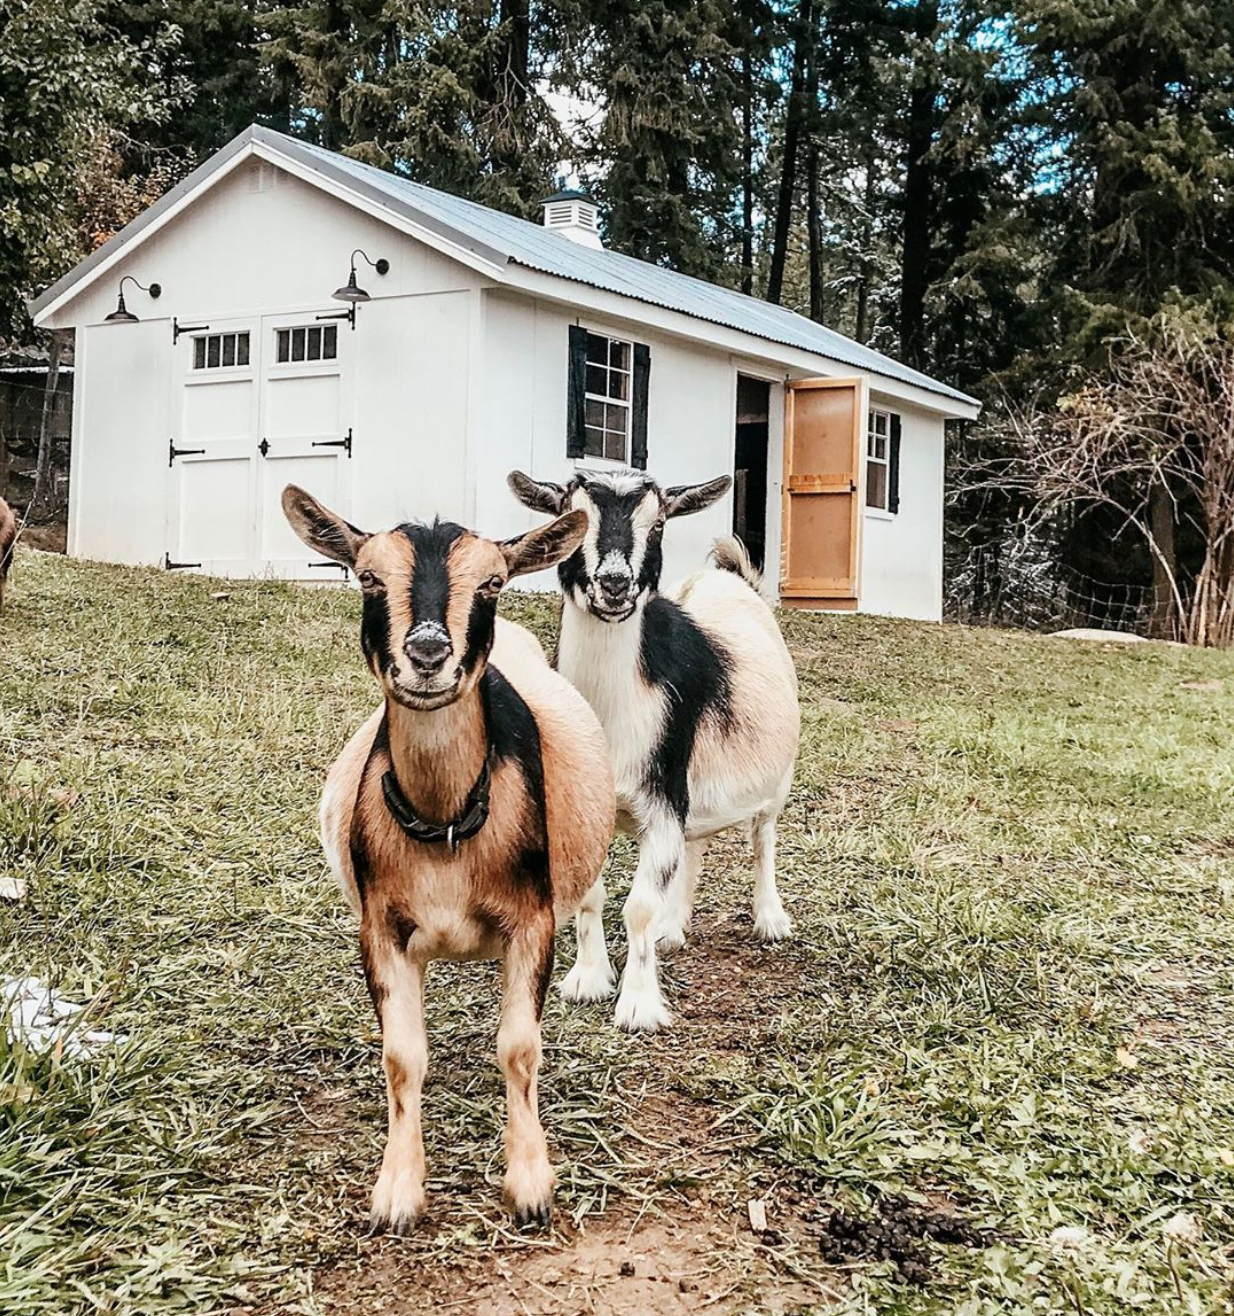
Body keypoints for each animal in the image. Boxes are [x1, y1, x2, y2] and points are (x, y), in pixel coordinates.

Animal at [282, 485, 615, 1233]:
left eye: (491, 582)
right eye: (367, 578)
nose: (429, 650)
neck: (446, 827)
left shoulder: (533, 920)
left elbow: (519, 1046)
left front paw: (531, 1184)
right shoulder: (381, 928)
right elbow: (403, 1056)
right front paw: (398, 1191)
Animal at [508, 469, 800, 1033]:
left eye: (659, 523)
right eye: (570, 517)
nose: (614, 583)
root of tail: (729, 580)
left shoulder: (664, 798)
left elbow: (638, 905)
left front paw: (639, 1004)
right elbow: (593, 893)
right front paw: (588, 979)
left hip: (776, 781)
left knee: (763, 840)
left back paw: (770, 919)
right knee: (697, 845)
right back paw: (672, 928)